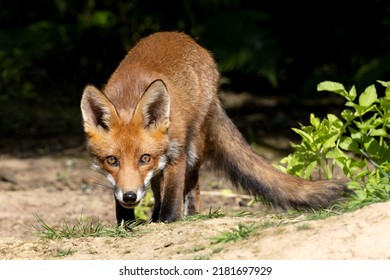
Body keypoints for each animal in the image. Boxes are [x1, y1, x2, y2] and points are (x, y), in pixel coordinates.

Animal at [80, 31, 350, 223]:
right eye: (112, 160)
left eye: (144, 158)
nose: (130, 196)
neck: (130, 98)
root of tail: (183, 37)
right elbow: (132, 206)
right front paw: (128, 224)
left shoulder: (176, 154)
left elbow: (172, 198)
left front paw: (168, 221)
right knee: (158, 188)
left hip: (194, 148)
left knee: (193, 188)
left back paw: (189, 216)